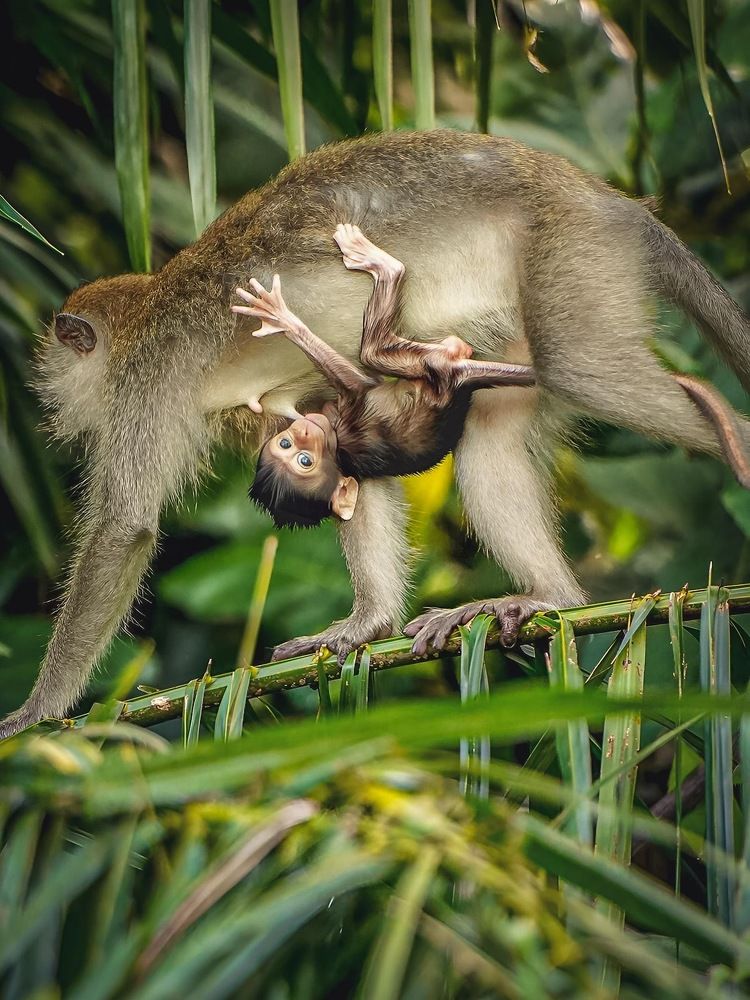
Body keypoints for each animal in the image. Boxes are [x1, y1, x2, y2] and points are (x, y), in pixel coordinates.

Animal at [235, 223, 536, 528]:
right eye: (304, 461)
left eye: (286, 444)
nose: (302, 432)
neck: (339, 446)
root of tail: (460, 379)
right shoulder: (353, 418)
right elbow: (363, 380)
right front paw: (284, 322)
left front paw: (282, 324)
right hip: (436, 371)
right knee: (372, 350)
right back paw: (386, 267)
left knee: (371, 351)